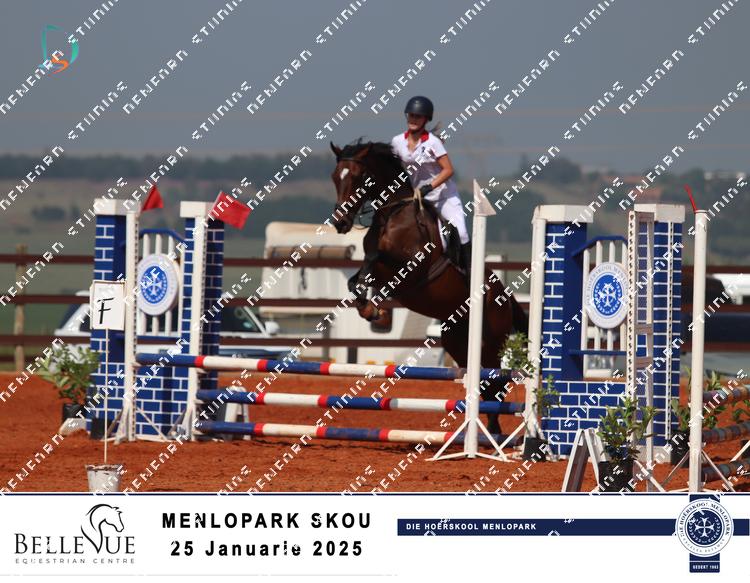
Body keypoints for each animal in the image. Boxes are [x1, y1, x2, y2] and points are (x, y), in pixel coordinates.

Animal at [328, 139, 528, 435]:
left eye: (358, 177)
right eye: (335, 177)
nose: (340, 223)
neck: (392, 213)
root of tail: (503, 293)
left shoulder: (410, 266)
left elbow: (374, 258)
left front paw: (375, 312)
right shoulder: (380, 272)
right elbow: (357, 280)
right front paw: (372, 311)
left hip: (492, 341)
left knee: (496, 382)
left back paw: (493, 431)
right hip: (458, 342)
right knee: (484, 384)